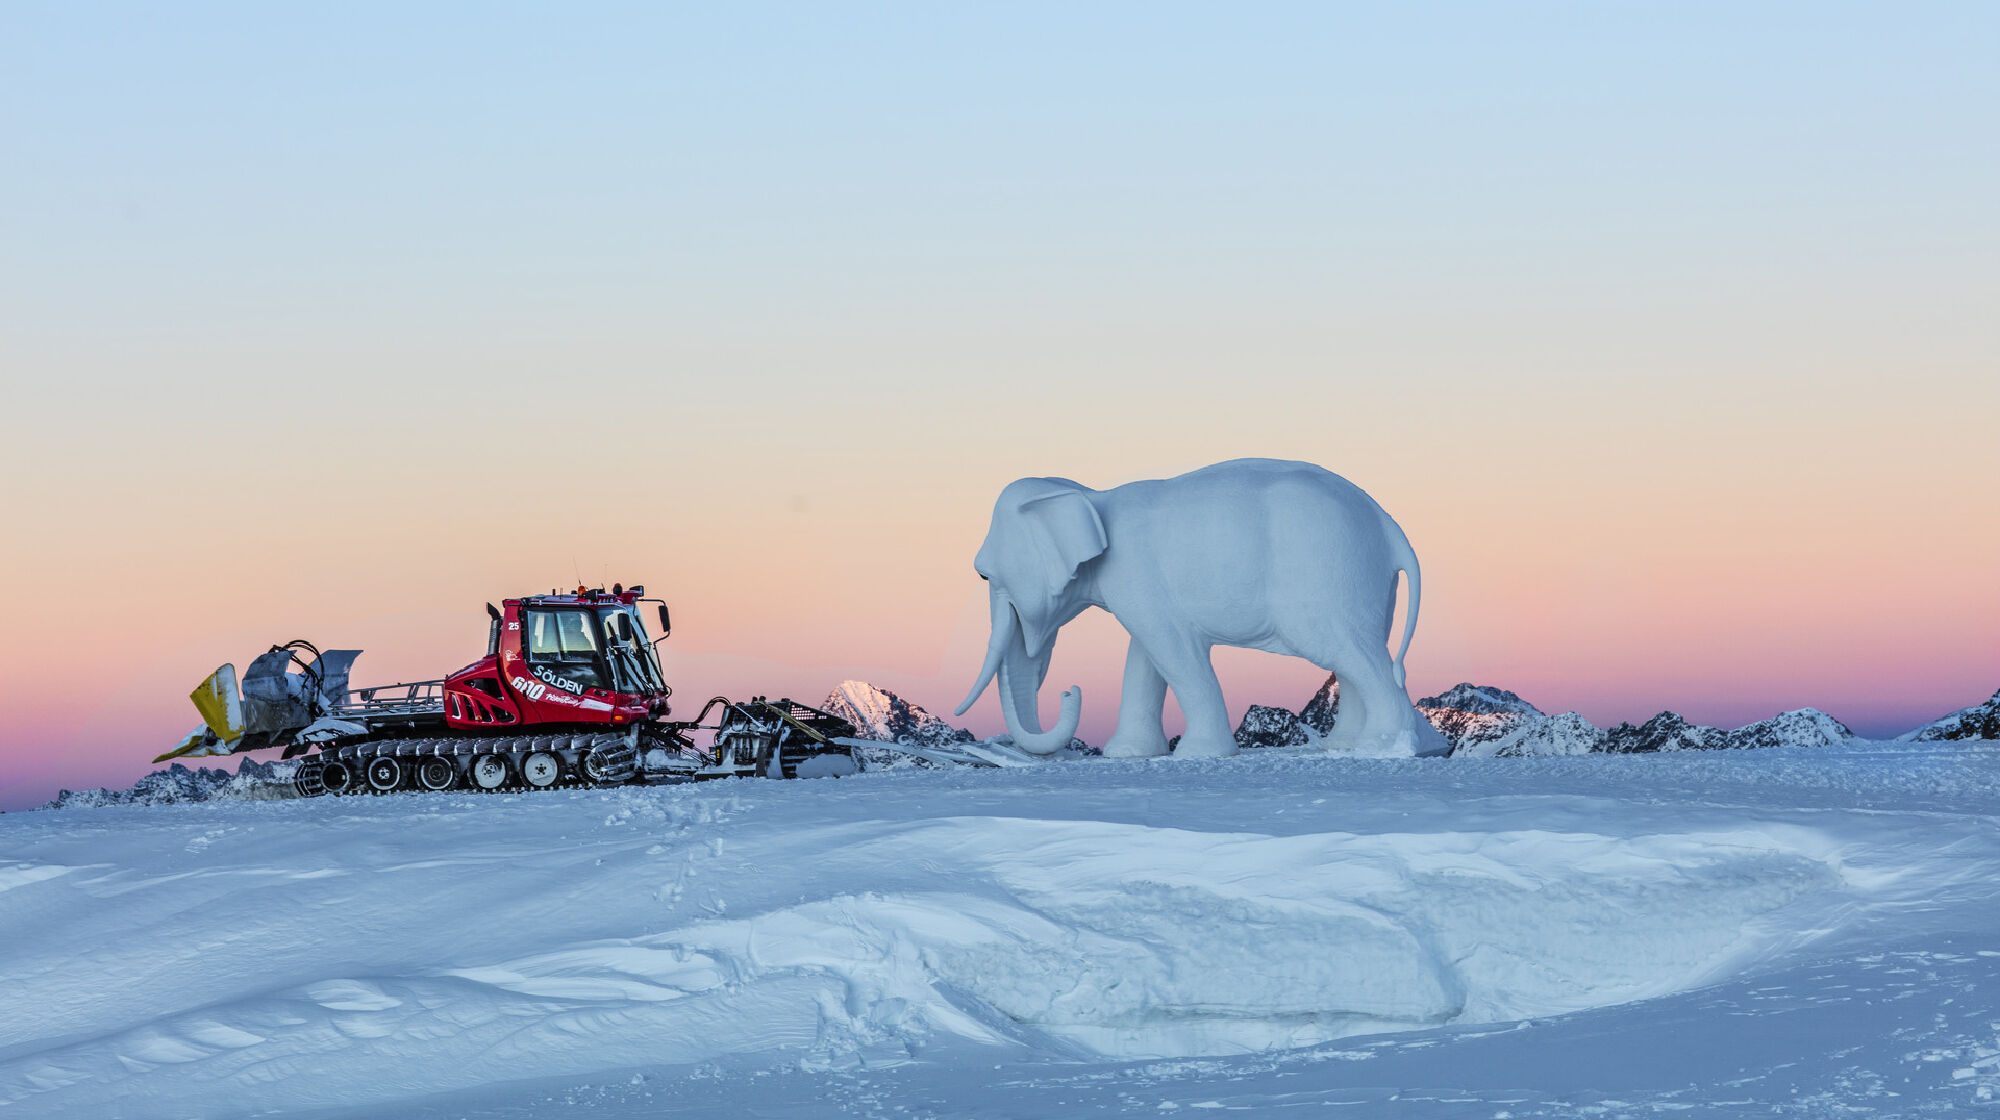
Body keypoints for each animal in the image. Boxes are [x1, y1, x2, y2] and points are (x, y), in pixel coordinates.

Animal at [955, 458, 1435, 759]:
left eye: (982, 576)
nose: (1070, 690)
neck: (1090, 495)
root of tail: (1389, 526)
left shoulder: (1134, 574)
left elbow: (1172, 652)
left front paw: (1198, 754)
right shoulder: (1142, 589)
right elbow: (1144, 656)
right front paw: (1126, 753)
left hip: (1327, 573)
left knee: (1351, 652)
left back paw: (1388, 749)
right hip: (1366, 583)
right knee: (1356, 657)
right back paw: (1355, 747)